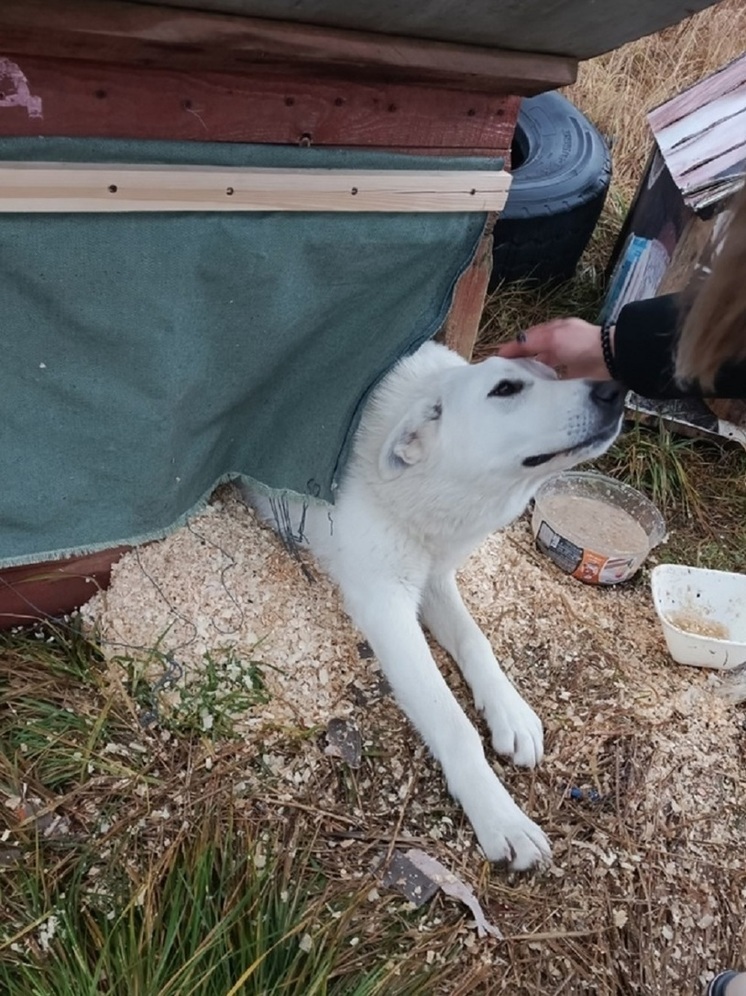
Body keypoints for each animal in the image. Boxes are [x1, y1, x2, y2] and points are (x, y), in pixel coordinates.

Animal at [241, 338, 620, 868]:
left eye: (553, 373)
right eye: (506, 388)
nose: (615, 390)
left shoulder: (437, 579)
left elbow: (477, 642)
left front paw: (510, 711)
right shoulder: (386, 603)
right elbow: (453, 722)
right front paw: (501, 816)